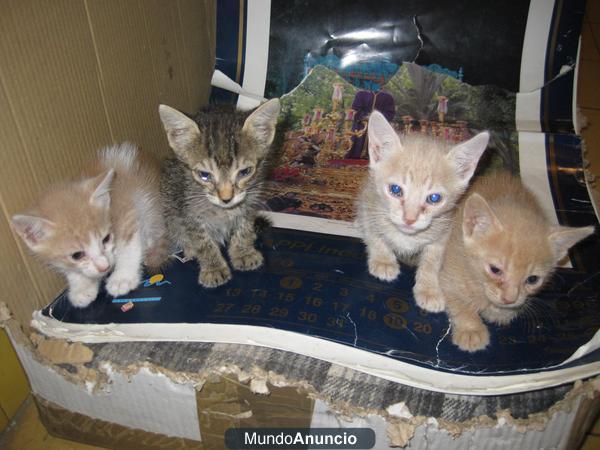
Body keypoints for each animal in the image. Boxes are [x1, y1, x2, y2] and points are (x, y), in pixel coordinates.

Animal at [9, 142, 169, 308]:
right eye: (77, 255)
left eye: (106, 239)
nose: (104, 267)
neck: (109, 204)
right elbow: (70, 270)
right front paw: (81, 287)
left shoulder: (126, 212)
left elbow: (129, 247)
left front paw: (122, 278)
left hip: (149, 202)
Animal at [159, 99, 282, 288]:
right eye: (204, 175)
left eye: (245, 172)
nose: (226, 198)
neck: (223, 211)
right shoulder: (188, 211)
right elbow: (203, 241)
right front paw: (213, 268)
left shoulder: (250, 200)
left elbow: (244, 226)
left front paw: (243, 252)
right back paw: (189, 249)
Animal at [356, 110, 488, 310]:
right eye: (395, 190)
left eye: (434, 198)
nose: (409, 219)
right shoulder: (368, 202)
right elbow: (374, 236)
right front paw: (383, 260)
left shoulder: (444, 230)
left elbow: (432, 261)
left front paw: (429, 289)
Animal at [432, 172, 596, 352]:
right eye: (495, 270)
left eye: (532, 279)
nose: (510, 299)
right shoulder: (449, 270)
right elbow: (459, 302)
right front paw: (471, 330)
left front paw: (500, 312)